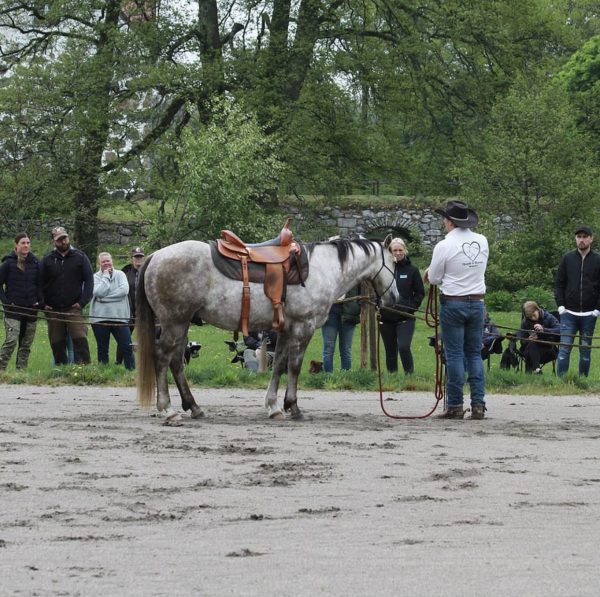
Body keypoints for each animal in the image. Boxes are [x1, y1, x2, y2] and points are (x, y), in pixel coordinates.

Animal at [136, 237, 398, 424]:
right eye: (395, 261)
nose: (394, 299)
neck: (323, 269)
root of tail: (155, 256)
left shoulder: (285, 330)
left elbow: (280, 365)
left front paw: (274, 407)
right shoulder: (303, 327)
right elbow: (294, 366)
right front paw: (293, 407)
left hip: (181, 324)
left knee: (176, 362)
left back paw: (194, 407)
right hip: (174, 322)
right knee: (163, 358)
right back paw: (167, 410)